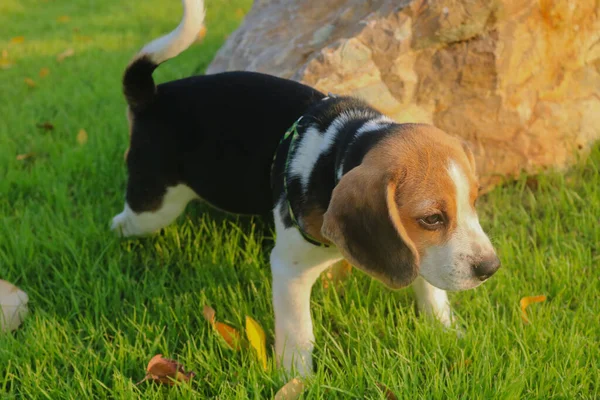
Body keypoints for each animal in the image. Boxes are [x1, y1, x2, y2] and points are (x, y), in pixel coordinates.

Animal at [112, 0, 502, 376]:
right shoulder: (290, 269)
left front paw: (447, 329)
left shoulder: (418, 252)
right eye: (432, 218)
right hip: (154, 207)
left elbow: (430, 284)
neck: (340, 148)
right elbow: (299, 330)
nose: (491, 268)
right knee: (124, 220)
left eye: (473, 200)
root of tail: (154, 97)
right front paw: (296, 377)